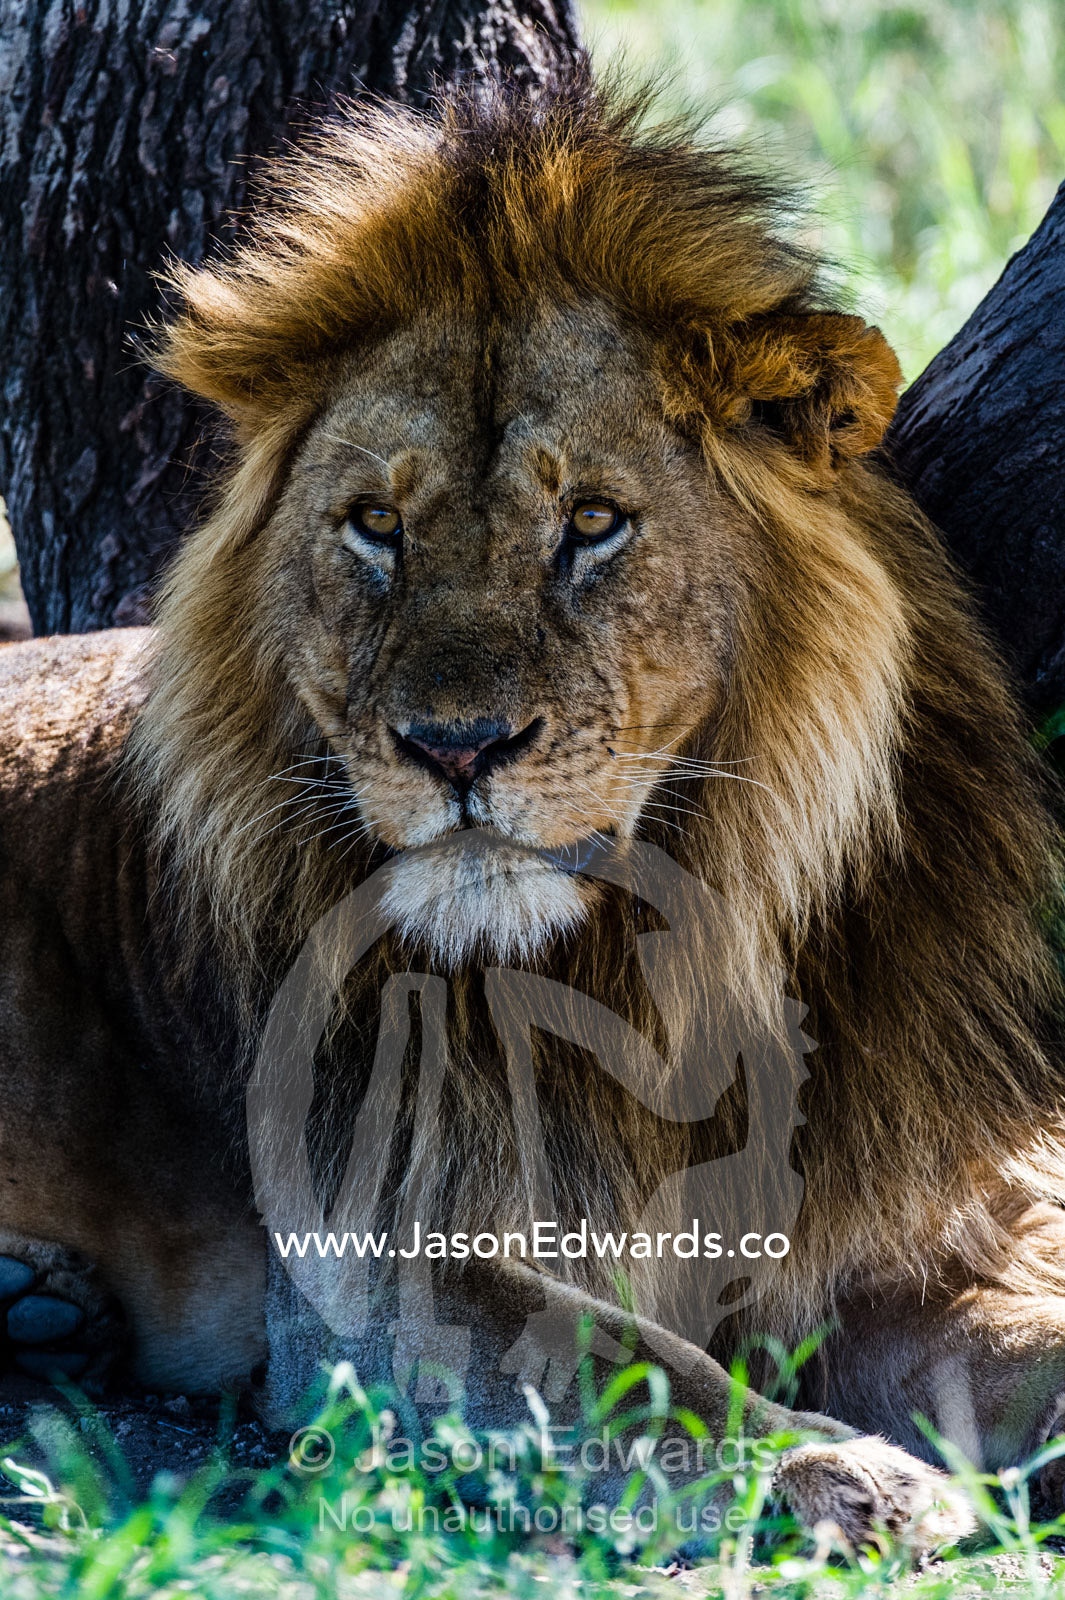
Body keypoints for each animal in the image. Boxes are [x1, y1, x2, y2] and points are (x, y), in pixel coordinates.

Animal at [0, 71, 1063, 1552]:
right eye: (375, 528)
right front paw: (843, 1472)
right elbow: (633, 1365)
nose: (456, 747)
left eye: (594, 524)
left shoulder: (894, 1220)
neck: (658, 964)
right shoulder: (373, 1280)